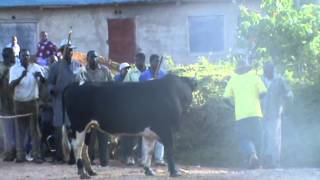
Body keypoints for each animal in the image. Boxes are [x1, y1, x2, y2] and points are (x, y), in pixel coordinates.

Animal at [61, 74, 196, 179]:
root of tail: (74, 84)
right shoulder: (165, 128)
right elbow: (169, 149)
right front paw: (175, 172)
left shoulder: (150, 131)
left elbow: (149, 150)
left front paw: (148, 170)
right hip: (79, 126)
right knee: (77, 146)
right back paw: (83, 173)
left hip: (89, 127)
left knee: (84, 147)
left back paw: (90, 171)